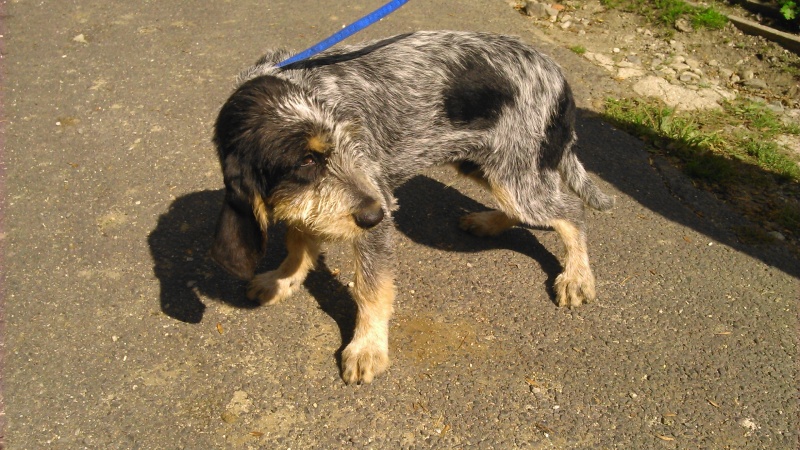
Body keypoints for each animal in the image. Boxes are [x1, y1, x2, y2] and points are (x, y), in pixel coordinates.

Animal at [211, 30, 612, 384]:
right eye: (307, 161)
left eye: (352, 140)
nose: (375, 214)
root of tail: (559, 77)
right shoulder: (304, 200)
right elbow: (297, 241)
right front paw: (284, 278)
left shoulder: (375, 213)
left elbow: (370, 288)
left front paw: (367, 346)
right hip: (484, 164)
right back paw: (487, 222)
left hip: (516, 173)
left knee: (571, 211)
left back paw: (577, 276)